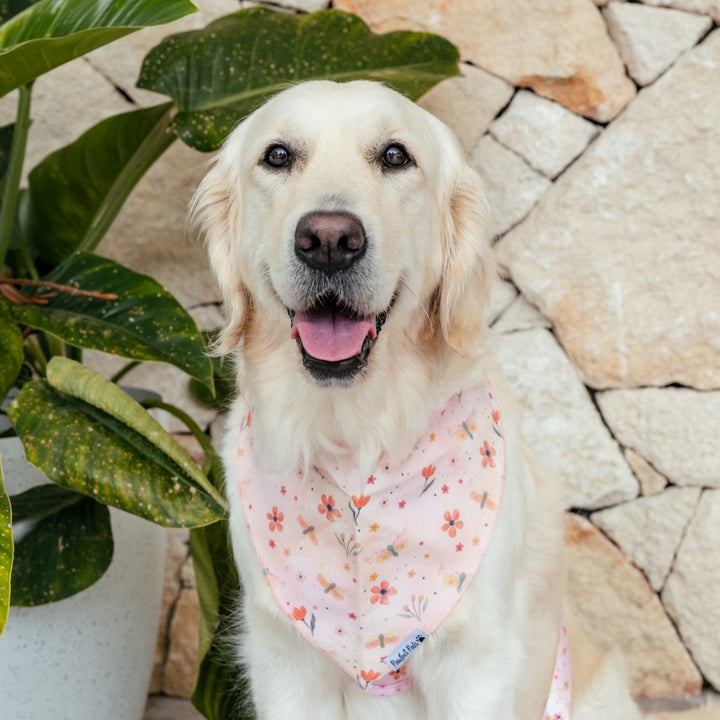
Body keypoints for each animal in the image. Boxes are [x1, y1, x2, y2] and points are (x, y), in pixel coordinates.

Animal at [191, 80, 640, 720]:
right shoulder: (284, 661)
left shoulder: (476, 668)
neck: (356, 441)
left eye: (395, 156)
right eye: (277, 156)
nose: (329, 240)